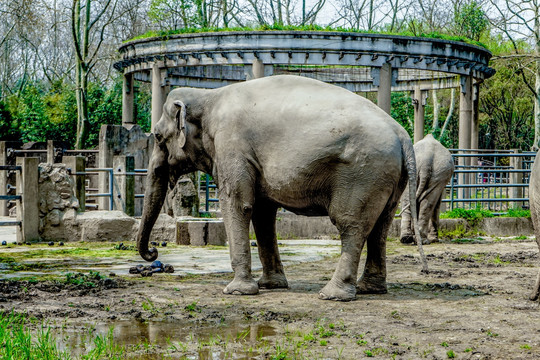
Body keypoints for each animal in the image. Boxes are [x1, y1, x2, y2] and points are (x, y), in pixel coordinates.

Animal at [137, 75, 428, 300]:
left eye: (159, 137)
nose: (153, 252)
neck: (207, 96)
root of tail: (403, 136)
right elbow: (263, 214)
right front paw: (271, 286)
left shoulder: (232, 146)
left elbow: (238, 205)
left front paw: (237, 292)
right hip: (388, 178)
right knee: (381, 225)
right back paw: (371, 289)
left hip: (363, 172)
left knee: (351, 224)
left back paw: (332, 295)